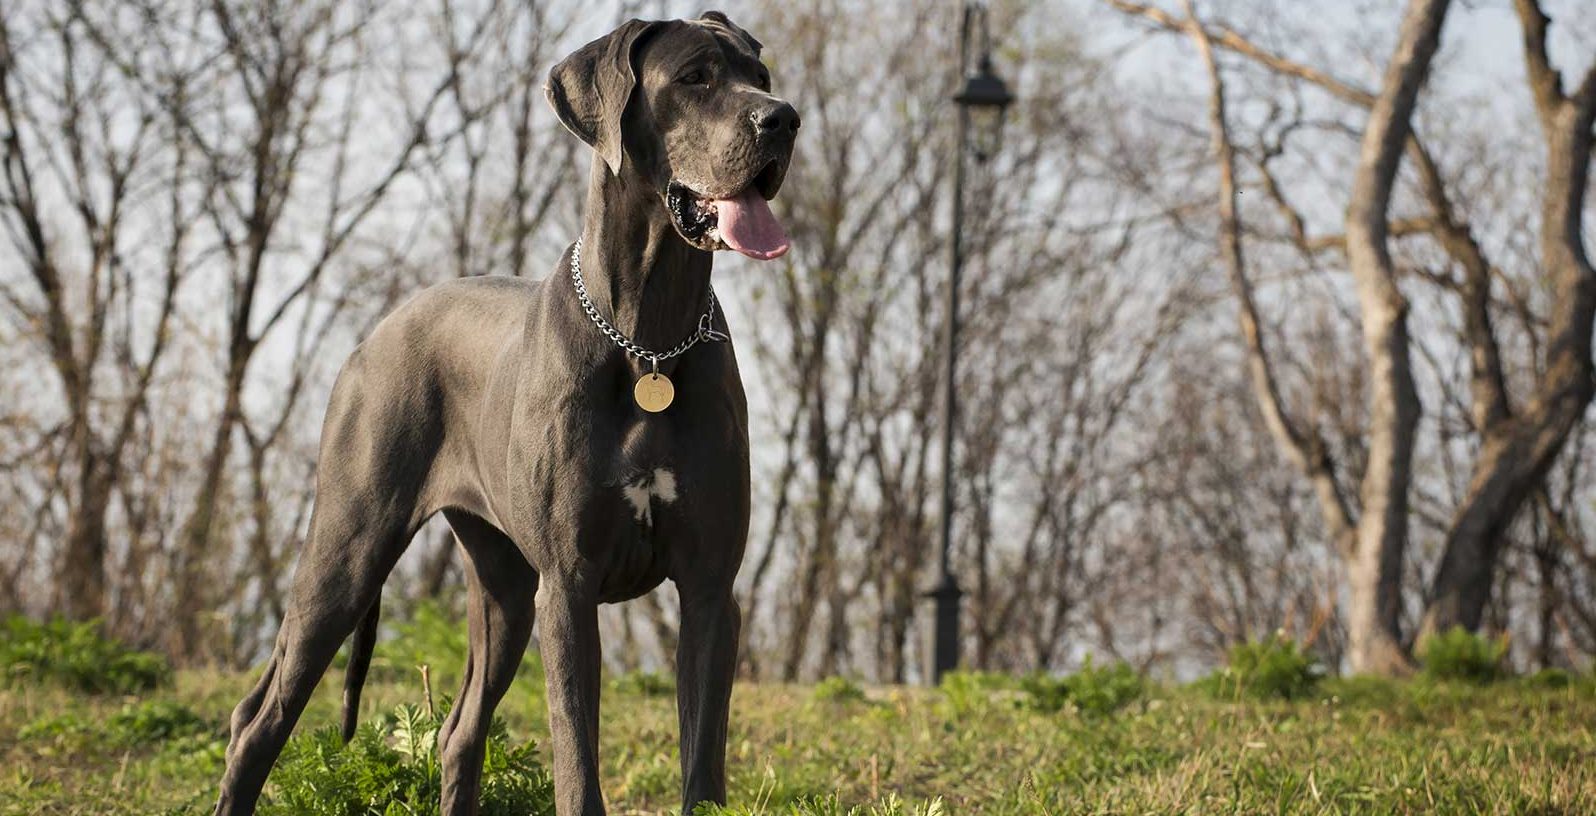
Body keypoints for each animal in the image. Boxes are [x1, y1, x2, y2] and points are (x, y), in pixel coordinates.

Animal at [212, 14, 798, 816]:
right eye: (695, 78)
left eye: (759, 78)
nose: (784, 119)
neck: (648, 338)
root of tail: (375, 333)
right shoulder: (570, 588)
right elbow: (576, 761)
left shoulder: (711, 589)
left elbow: (702, 761)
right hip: (347, 549)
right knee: (259, 718)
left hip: (504, 592)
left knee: (458, 730)